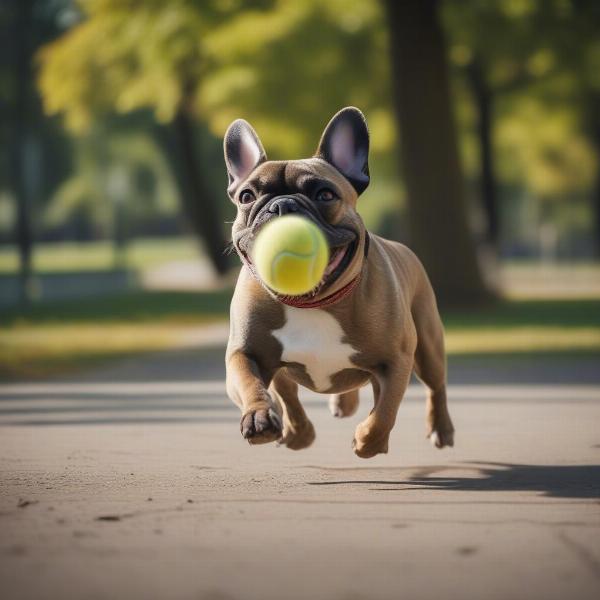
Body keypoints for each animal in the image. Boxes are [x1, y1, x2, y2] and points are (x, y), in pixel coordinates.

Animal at [223, 105, 452, 458]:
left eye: (325, 194)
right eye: (247, 196)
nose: (282, 204)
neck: (312, 303)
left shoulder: (396, 360)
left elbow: (385, 411)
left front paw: (369, 441)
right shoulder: (244, 353)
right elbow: (251, 383)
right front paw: (262, 418)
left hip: (428, 345)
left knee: (434, 385)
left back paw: (440, 428)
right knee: (289, 394)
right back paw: (304, 427)